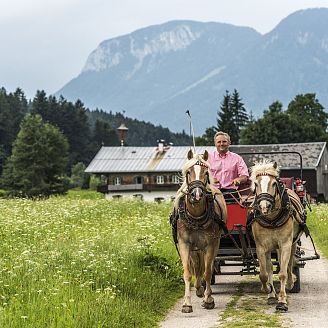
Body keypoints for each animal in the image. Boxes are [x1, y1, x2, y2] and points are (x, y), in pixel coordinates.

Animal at [170, 149, 227, 312]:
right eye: (189, 172)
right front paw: (187, 303)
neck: (195, 216)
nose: (197, 194)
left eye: (206, 172)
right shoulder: (184, 244)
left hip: (214, 244)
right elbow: (188, 272)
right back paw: (198, 288)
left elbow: (207, 272)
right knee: (196, 265)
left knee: (208, 266)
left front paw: (208, 299)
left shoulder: (210, 245)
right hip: (195, 248)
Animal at [250, 161, 306, 312]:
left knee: (289, 263)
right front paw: (267, 290)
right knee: (270, 267)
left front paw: (282, 301)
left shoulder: (285, 244)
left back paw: (290, 283)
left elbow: (282, 272)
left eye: (275, 183)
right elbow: (264, 274)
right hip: (271, 248)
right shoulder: (261, 247)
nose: (264, 206)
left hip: (291, 243)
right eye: (255, 184)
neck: (271, 219)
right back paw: (271, 295)